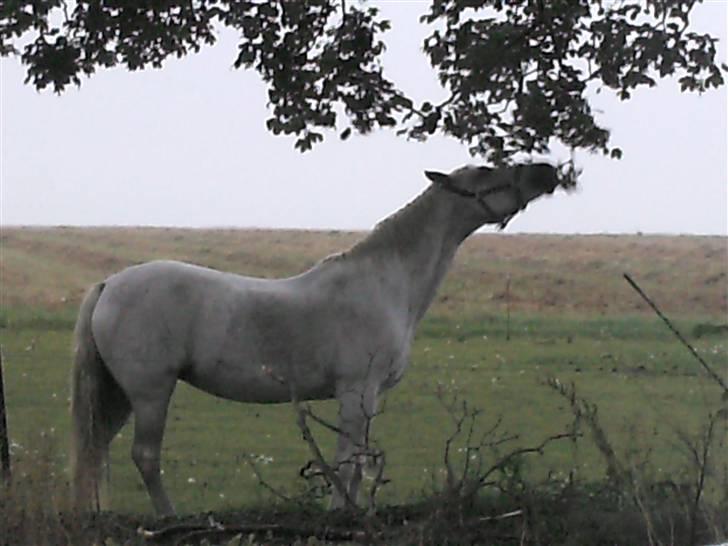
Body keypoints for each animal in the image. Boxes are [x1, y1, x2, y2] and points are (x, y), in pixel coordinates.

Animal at [69, 163, 556, 516]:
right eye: (487, 171)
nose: (547, 171)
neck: (385, 282)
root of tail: (110, 285)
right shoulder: (355, 390)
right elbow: (345, 460)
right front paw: (340, 513)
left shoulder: (370, 396)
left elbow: (357, 461)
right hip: (151, 392)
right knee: (144, 456)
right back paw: (168, 517)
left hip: (119, 395)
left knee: (97, 449)